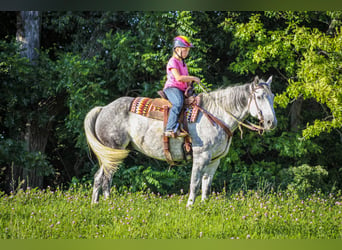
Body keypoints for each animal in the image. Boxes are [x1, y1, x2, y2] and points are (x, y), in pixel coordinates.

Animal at [84, 76, 276, 207]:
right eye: (259, 96)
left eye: (272, 96)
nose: (271, 122)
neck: (216, 115)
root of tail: (103, 108)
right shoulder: (201, 156)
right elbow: (195, 183)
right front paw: (190, 206)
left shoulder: (214, 160)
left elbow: (206, 184)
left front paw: (204, 206)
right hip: (113, 151)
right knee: (106, 178)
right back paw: (108, 204)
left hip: (110, 155)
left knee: (99, 177)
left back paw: (96, 204)